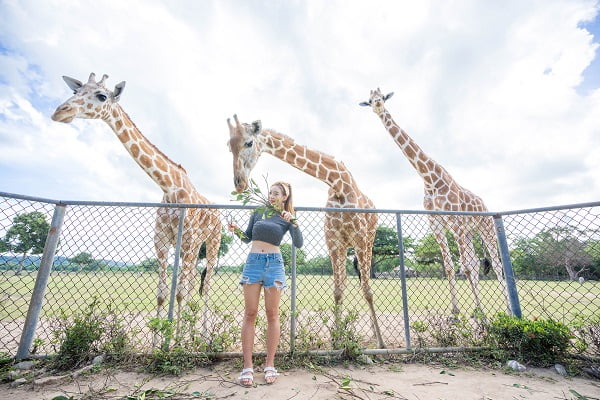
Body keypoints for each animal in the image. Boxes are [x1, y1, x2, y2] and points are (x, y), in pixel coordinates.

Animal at [52, 72, 223, 332]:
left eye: (102, 96)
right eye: (75, 92)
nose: (60, 112)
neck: (169, 187)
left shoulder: (186, 239)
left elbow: (180, 293)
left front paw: (178, 339)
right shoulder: (161, 240)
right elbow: (163, 294)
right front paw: (165, 338)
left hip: (212, 241)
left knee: (207, 283)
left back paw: (201, 334)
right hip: (196, 246)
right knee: (194, 281)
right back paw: (193, 330)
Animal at [225, 114, 384, 348]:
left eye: (249, 143)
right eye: (229, 146)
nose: (239, 183)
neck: (339, 184)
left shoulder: (360, 238)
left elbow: (368, 291)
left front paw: (381, 343)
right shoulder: (333, 241)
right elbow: (338, 291)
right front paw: (337, 341)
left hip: (369, 240)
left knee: (365, 281)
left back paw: (375, 333)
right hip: (345, 246)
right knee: (347, 281)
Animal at [360, 88, 510, 316]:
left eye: (383, 97)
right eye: (369, 100)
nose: (377, 104)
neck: (430, 179)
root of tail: (485, 205)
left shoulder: (454, 220)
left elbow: (465, 267)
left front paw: (478, 316)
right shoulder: (436, 222)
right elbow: (449, 266)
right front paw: (455, 312)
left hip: (485, 227)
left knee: (495, 263)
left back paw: (508, 310)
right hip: (468, 232)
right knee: (475, 262)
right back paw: (477, 309)